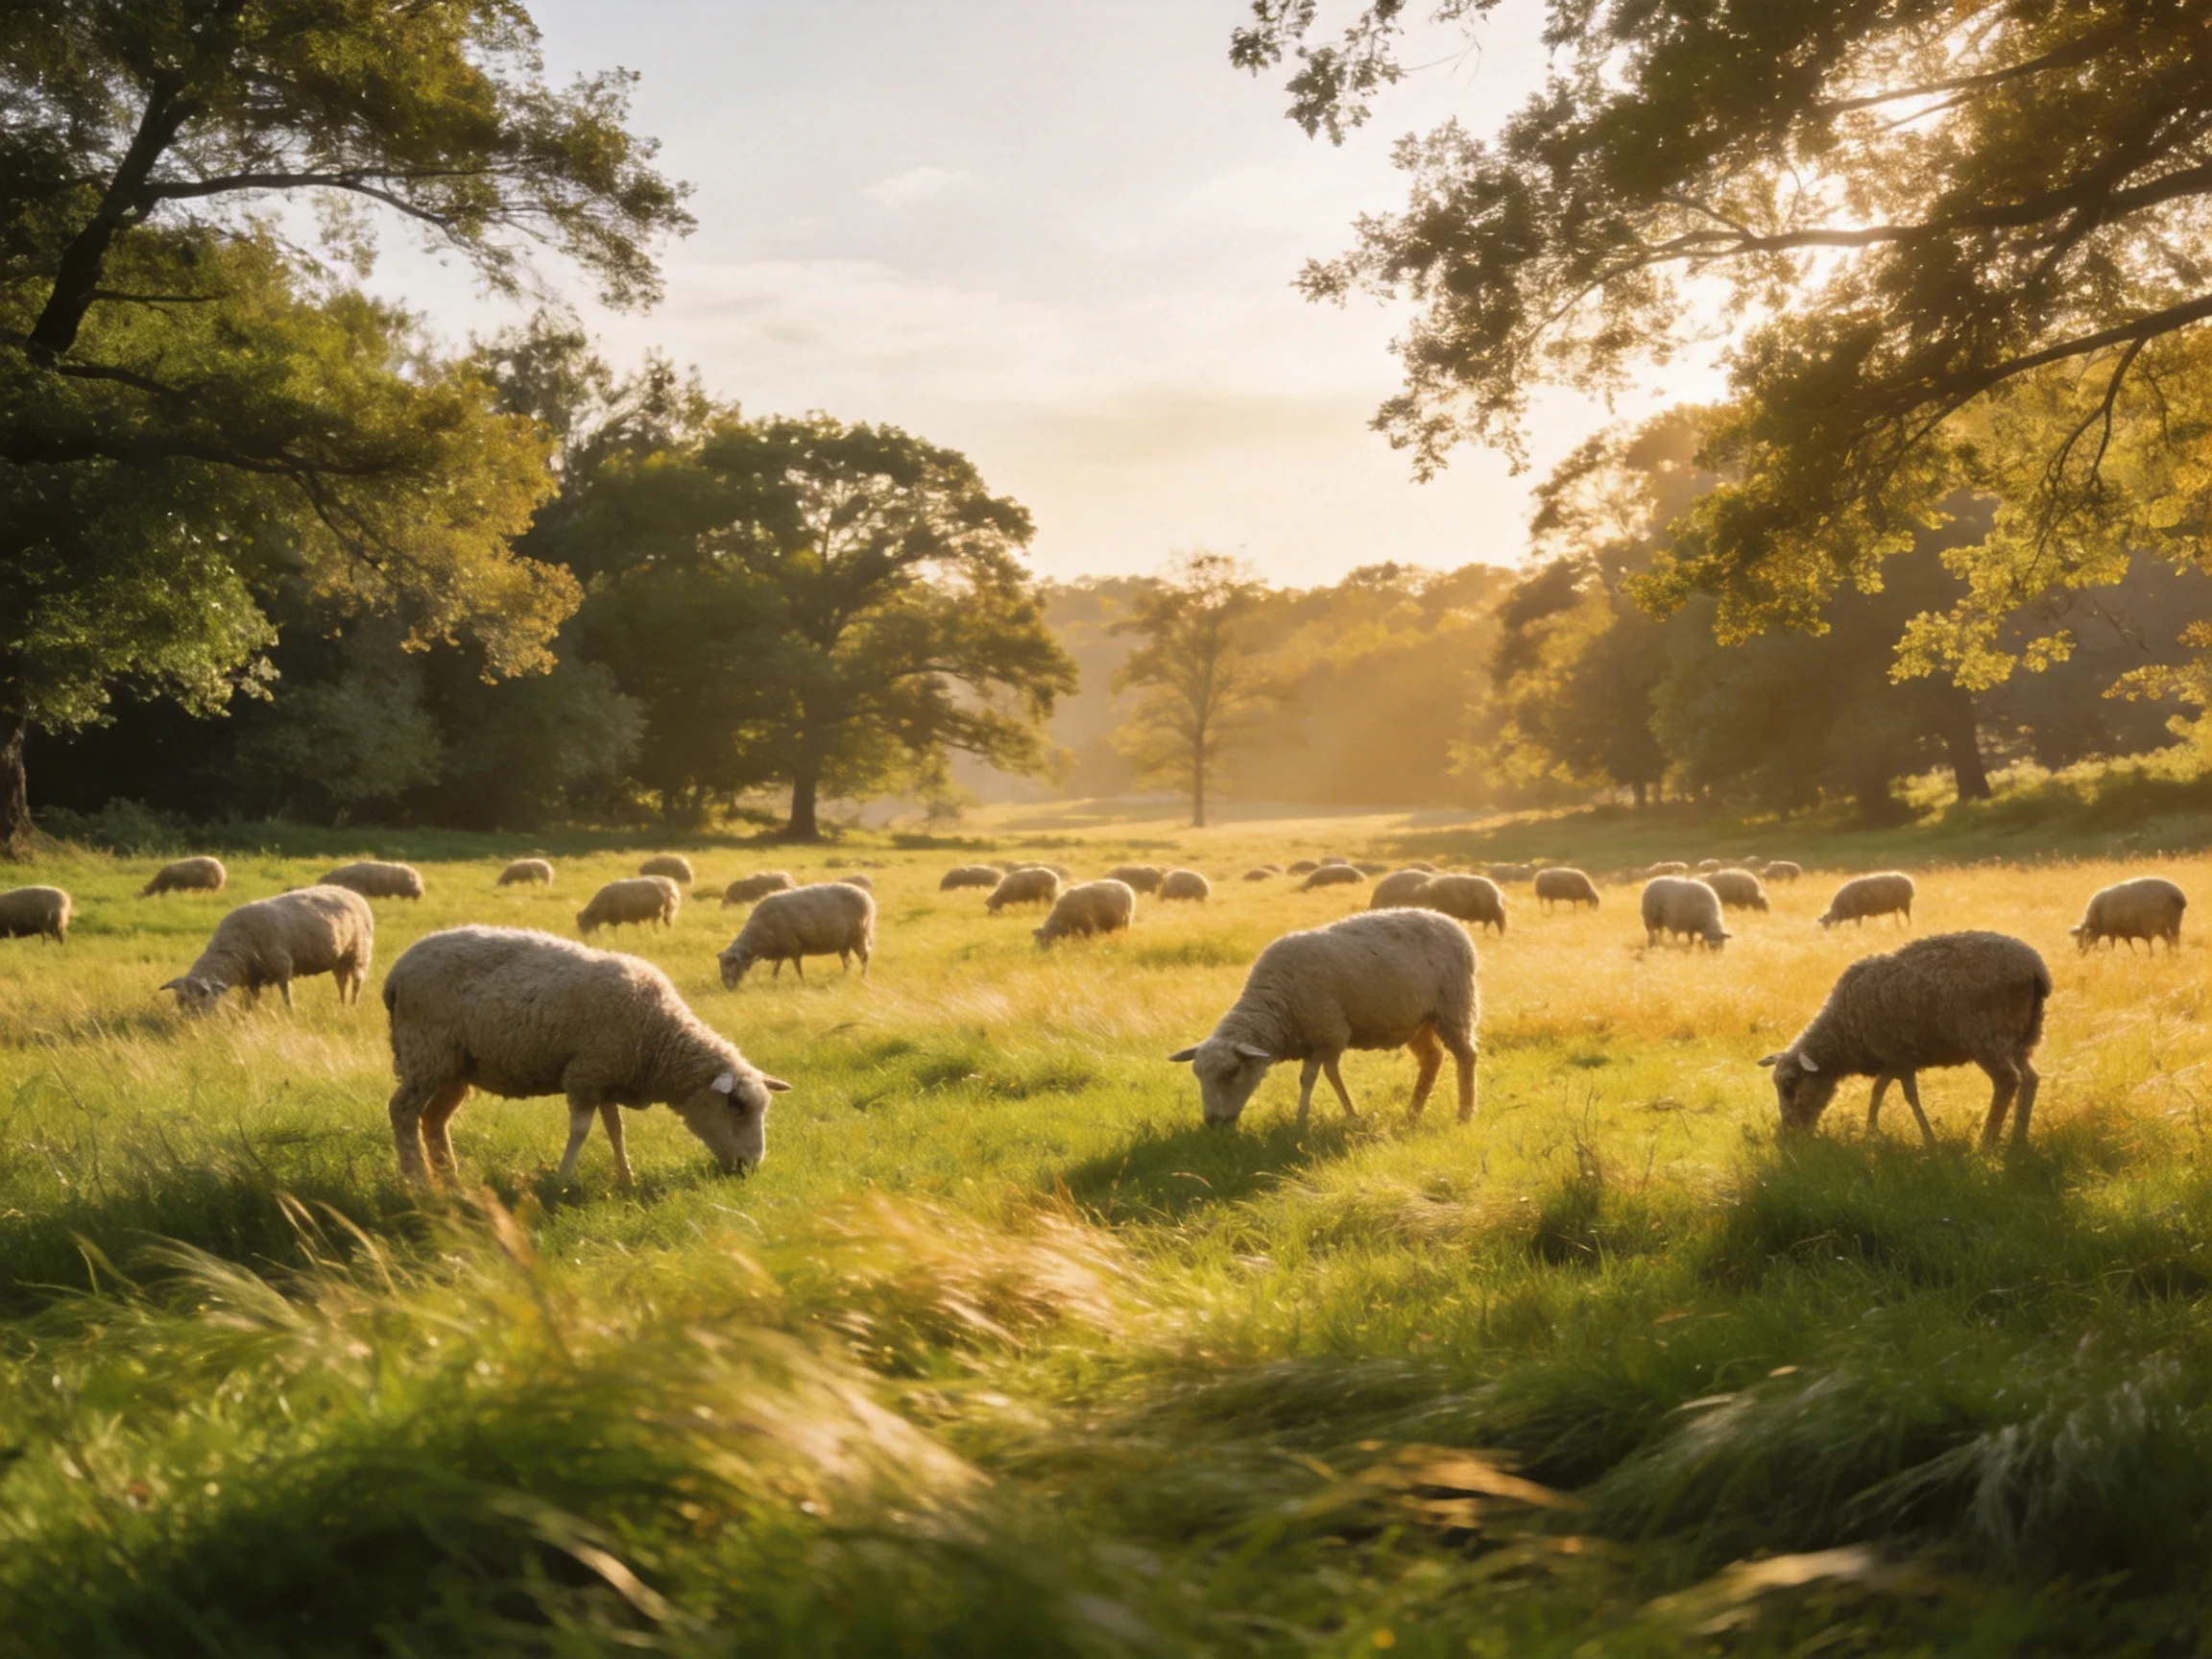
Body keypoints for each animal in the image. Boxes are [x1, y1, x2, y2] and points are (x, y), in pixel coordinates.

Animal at [162, 886, 372, 1015]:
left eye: (200, 998)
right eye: (180, 1000)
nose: (189, 1023)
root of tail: (351, 892)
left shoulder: (282, 965)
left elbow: (286, 994)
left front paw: (290, 1012)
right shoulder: (252, 979)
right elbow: (250, 1001)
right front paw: (248, 1014)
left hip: (359, 953)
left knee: (356, 983)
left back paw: (353, 1006)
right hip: (341, 959)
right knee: (342, 982)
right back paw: (342, 1004)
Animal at [383, 926, 788, 1187]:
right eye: (736, 1106)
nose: (751, 1168)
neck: (656, 1035)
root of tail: (397, 972)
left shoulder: (607, 1075)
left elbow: (616, 1129)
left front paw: (626, 1176)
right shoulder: (584, 1073)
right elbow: (580, 1130)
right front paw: (563, 1179)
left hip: (455, 1066)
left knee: (433, 1120)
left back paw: (448, 1177)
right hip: (426, 1050)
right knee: (402, 1110)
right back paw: (418, 1181)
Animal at [718, 881, 876, 986]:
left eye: (730, 966)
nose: (728, 988)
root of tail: (866, 896)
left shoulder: (793, 946)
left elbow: (797, 967)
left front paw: (802, 981)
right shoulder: (782, 948)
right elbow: (777, 967)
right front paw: (773, 980)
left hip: (859, 935)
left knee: (864, 958)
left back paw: (862, 977)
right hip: (844, 942)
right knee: (847, 961)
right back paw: (845, 975)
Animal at [1168, 909, 1479, 1128]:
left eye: (1232, 1072)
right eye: (1197, 1074)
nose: (1212, 1123)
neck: (1276, 1003)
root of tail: (1450, 922)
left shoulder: (1328, 1034)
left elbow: (1317, 1077)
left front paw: (1316, 1119)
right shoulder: (1316, 1039)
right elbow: (1318, 1076)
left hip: (1454, 1005)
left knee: (1466, 1055)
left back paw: (1464, 1114)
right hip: (1418, 1020)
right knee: (1432, 1058)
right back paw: (1413, 1112)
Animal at [1761, 931, 2051, 1152]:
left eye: (1790, 1086)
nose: (1786, 1137)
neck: (1841, 1033)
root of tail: (2035, 968)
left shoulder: (1899, 1057)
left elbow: (1909, 1097)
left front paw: (1929, 1141)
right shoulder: (1892, 1059)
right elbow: (1878, 1090)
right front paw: (1871, 1132)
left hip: (1986, 1036)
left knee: (2007, 1081)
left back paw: (1986, 1143)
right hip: (2021, 1038)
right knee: (2030, 1079)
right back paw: (2018, 1139)